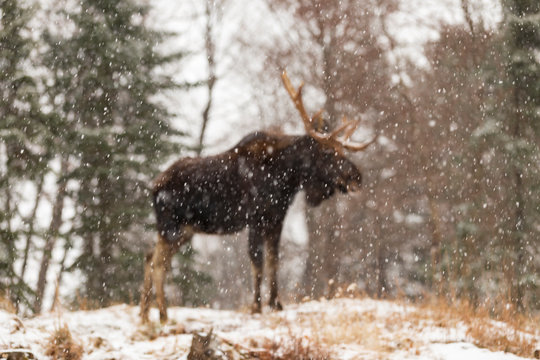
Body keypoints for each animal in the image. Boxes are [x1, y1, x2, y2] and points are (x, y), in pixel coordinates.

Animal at [139, 72, 376, 324]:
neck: (287, 180)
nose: (357, 177)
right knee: (158, 263)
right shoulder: (254, 219)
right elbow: (257, 261)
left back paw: (144, 315)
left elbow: (274, 260)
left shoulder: (276, 219)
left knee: (150, 256)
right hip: (171, 226)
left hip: (185, 230)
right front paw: (256, 306)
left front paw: (276, 303)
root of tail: (154, 187)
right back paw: (163, 315)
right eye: (328, 152)